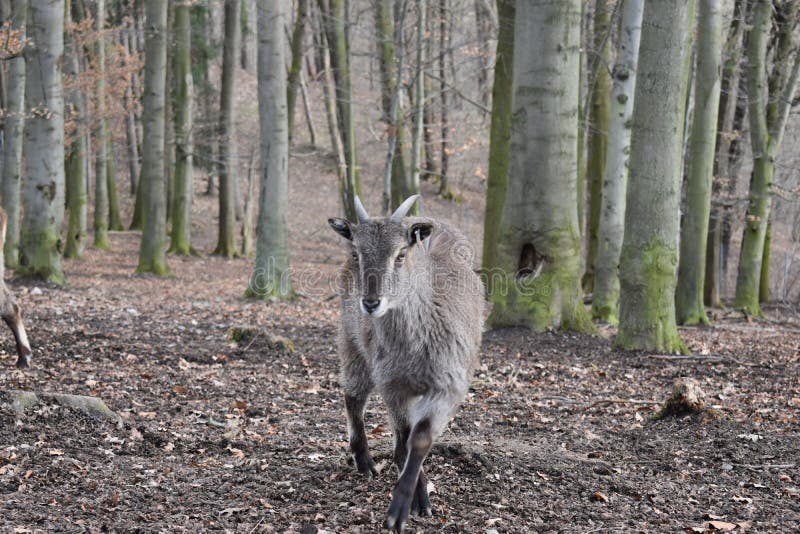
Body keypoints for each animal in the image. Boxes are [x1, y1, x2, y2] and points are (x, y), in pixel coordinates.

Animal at [328, 194, 483, 532]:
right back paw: (365, 462)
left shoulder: (449, 384)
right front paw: (413, 499)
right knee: (353, 397)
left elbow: (419, 439)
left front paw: (409, 505)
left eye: (400, 254)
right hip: (351, 342)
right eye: (357, 252)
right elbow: (404, 433)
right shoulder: (392, 383)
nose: (371, 302)